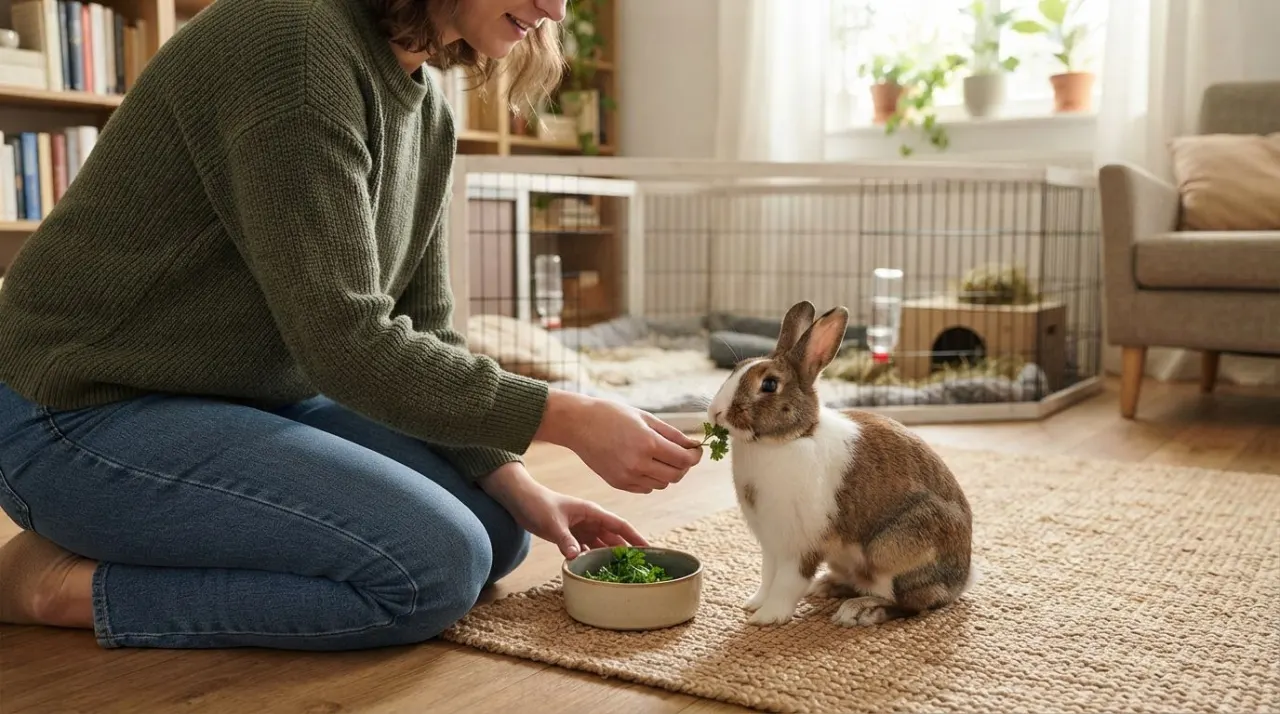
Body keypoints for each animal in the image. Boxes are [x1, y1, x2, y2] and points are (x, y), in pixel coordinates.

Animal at [706, 300, 975, 627]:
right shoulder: (771, 545)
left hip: (892, 549)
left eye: (769, 384)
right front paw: (754, 604)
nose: (716, 412)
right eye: (735, 369)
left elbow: (787, 583)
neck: (791, 439)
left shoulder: (800, 546)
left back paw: (860, 611)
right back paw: (827, 586)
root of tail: (961, 580)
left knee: (915, 602)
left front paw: (766, 618)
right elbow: (768, 576)